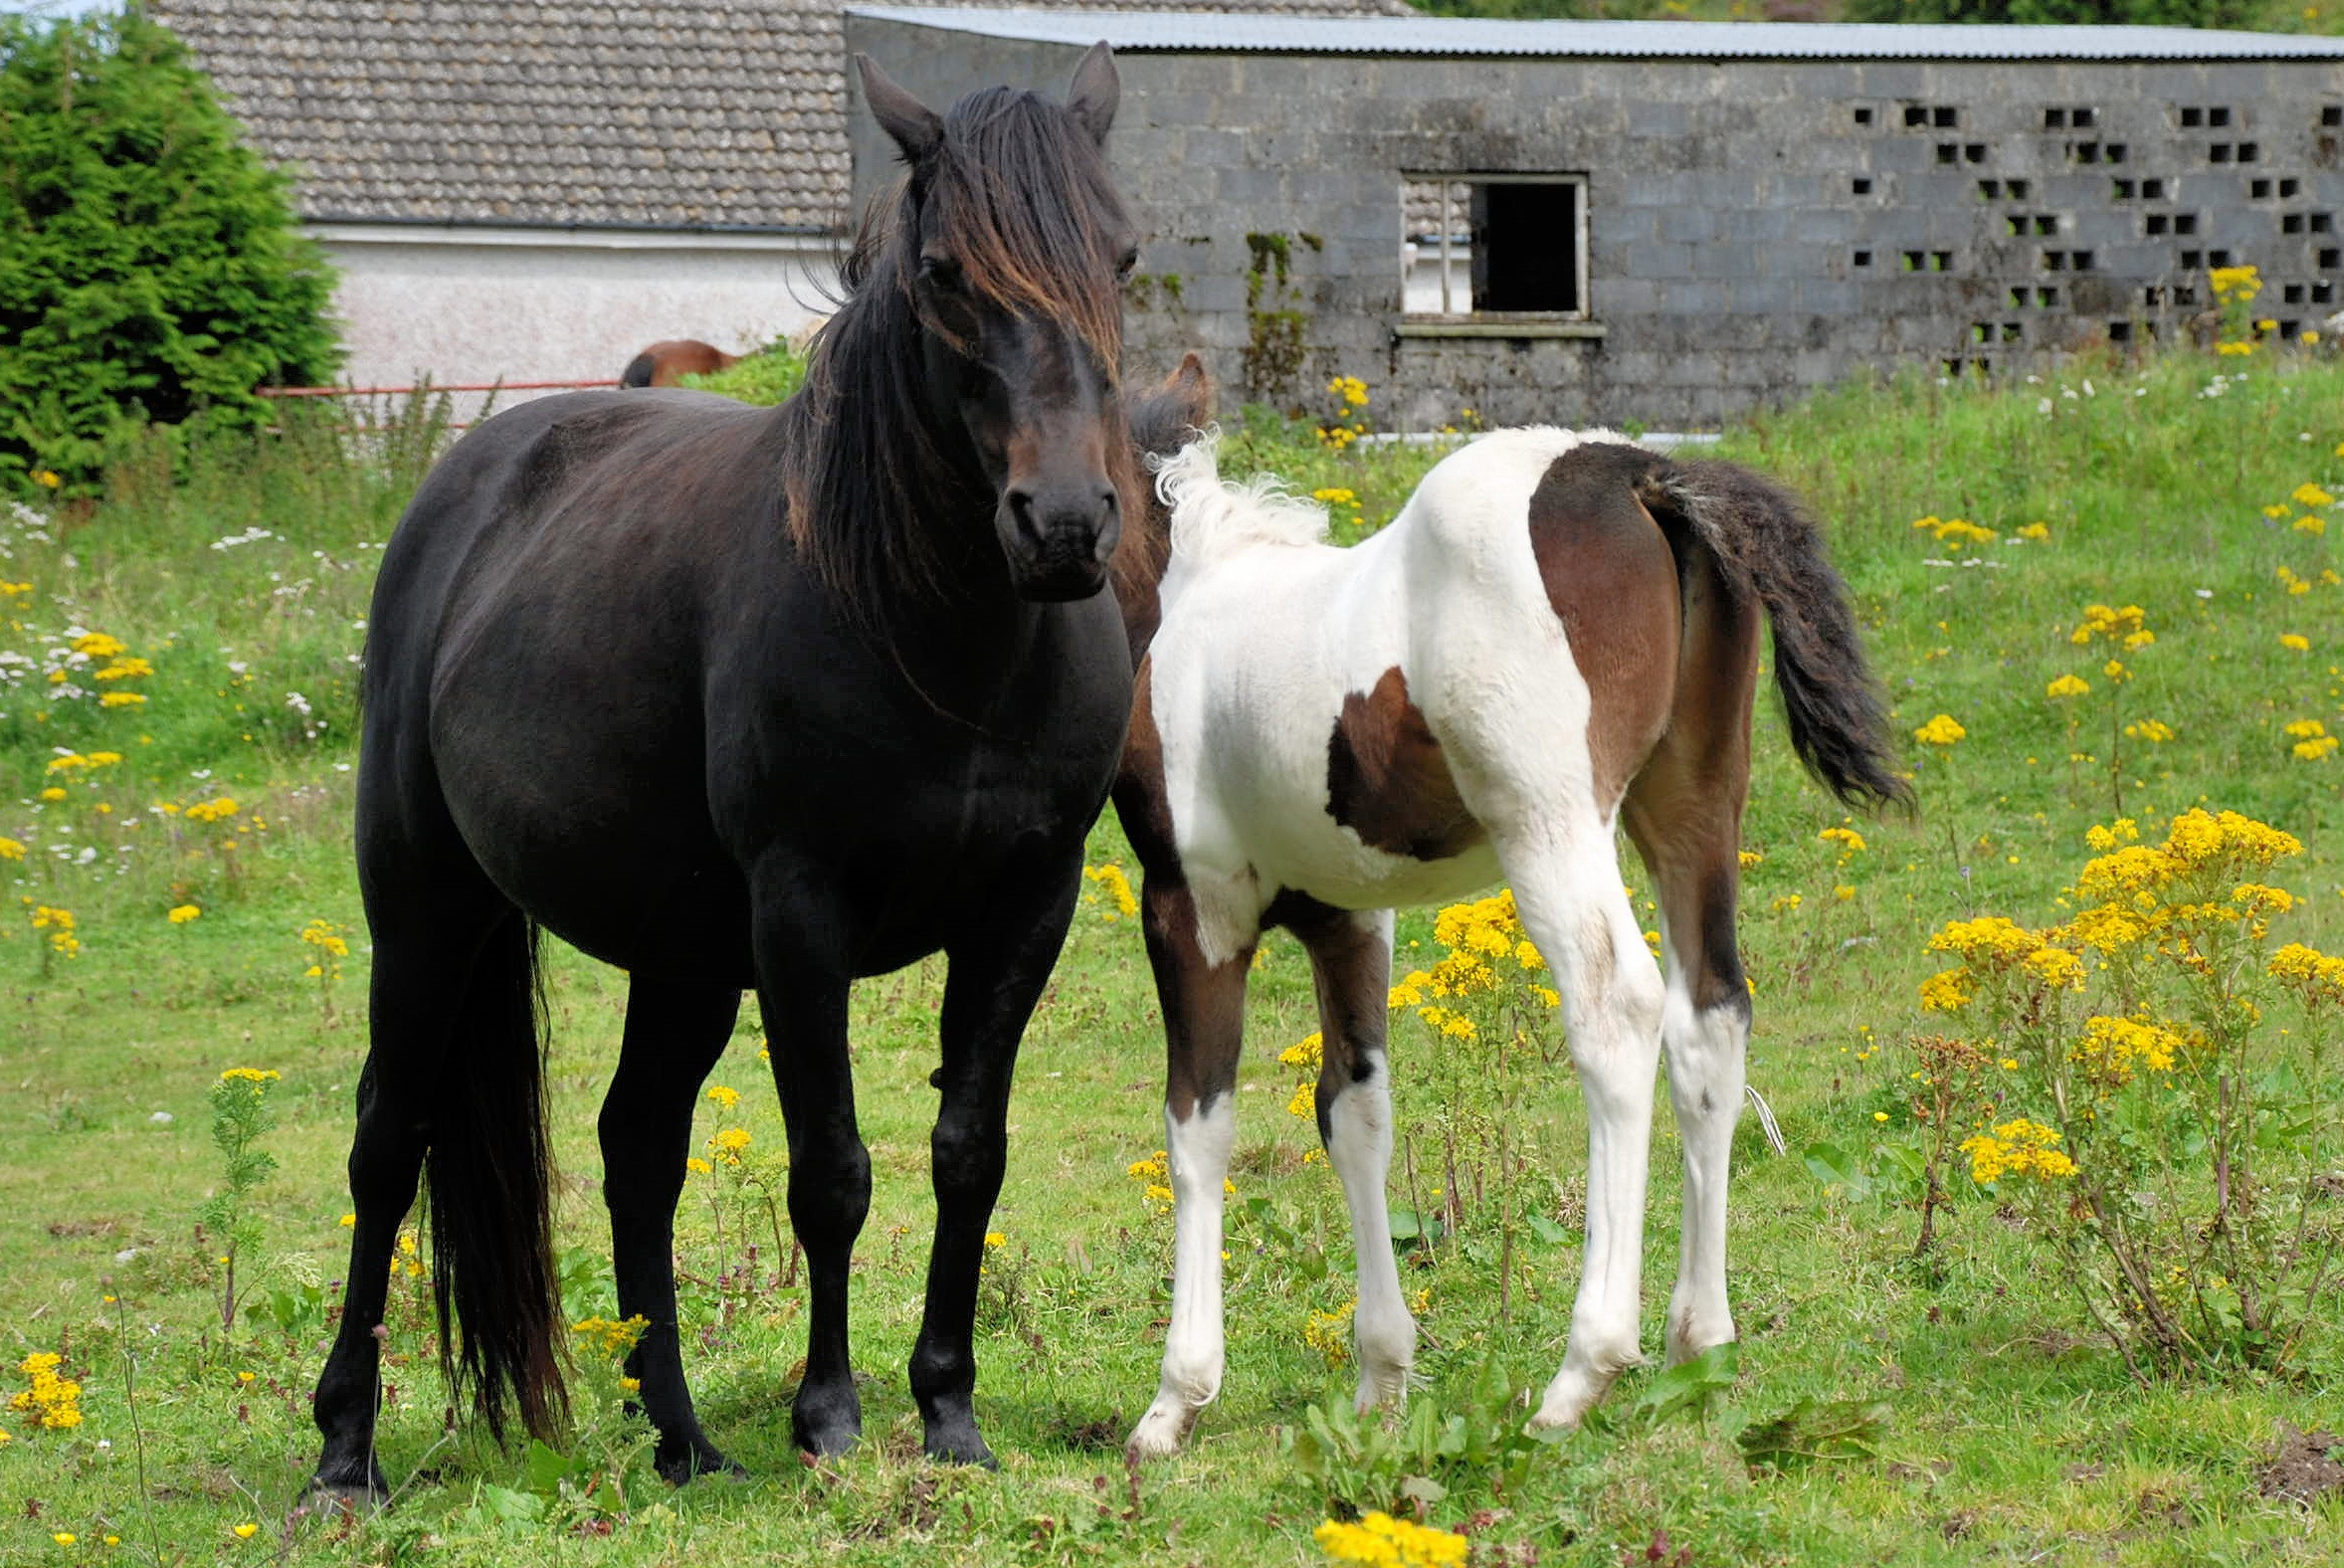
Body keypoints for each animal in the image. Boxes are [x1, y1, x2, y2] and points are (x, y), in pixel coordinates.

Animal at [306, 45, 1139, 1503]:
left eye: (1124, 257)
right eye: (945, 275)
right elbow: (833, 1172)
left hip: (680, 956)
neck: (948, 645)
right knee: (386, 1141)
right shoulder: (800, 913)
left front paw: (949, 1411)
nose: (1066, 527)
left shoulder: (1023, 911)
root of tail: (468, 482)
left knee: (636, 1150)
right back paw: (344, 1452)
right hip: (427, 911)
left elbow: (966, 1157)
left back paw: (685, 1440)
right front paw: (831, 1419)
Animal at [1108, 380, 1909, 1457]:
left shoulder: (1192, 906)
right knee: (1712, 1017)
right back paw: (1698, 1345)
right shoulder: (1349, 919)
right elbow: (1355, 1112)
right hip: (1692, 807)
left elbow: (1198, 1127)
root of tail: (1643, 473)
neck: (1194, 595)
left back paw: (1584, 1370)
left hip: (1552, 822)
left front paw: (1174, 1398)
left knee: (1619, 1010)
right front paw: (1382, 1376)